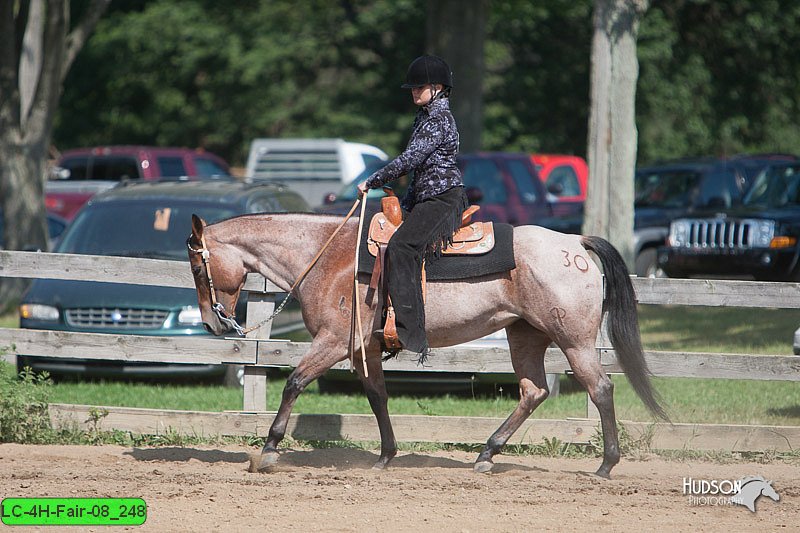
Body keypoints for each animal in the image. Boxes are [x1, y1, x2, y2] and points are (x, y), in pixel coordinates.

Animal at [188, 210, 668, 476]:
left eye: (196, 266)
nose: (213, 323)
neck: (330, 256)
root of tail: (575, 243)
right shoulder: (364, 351)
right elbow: (377, 397)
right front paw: (386, 456)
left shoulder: (333, 342)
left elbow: (294, 383)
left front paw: (268, 451)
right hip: (525, 337)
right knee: (534, 391)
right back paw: (486, 454)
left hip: (574, 341)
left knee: (600, 388)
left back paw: (605, 465)